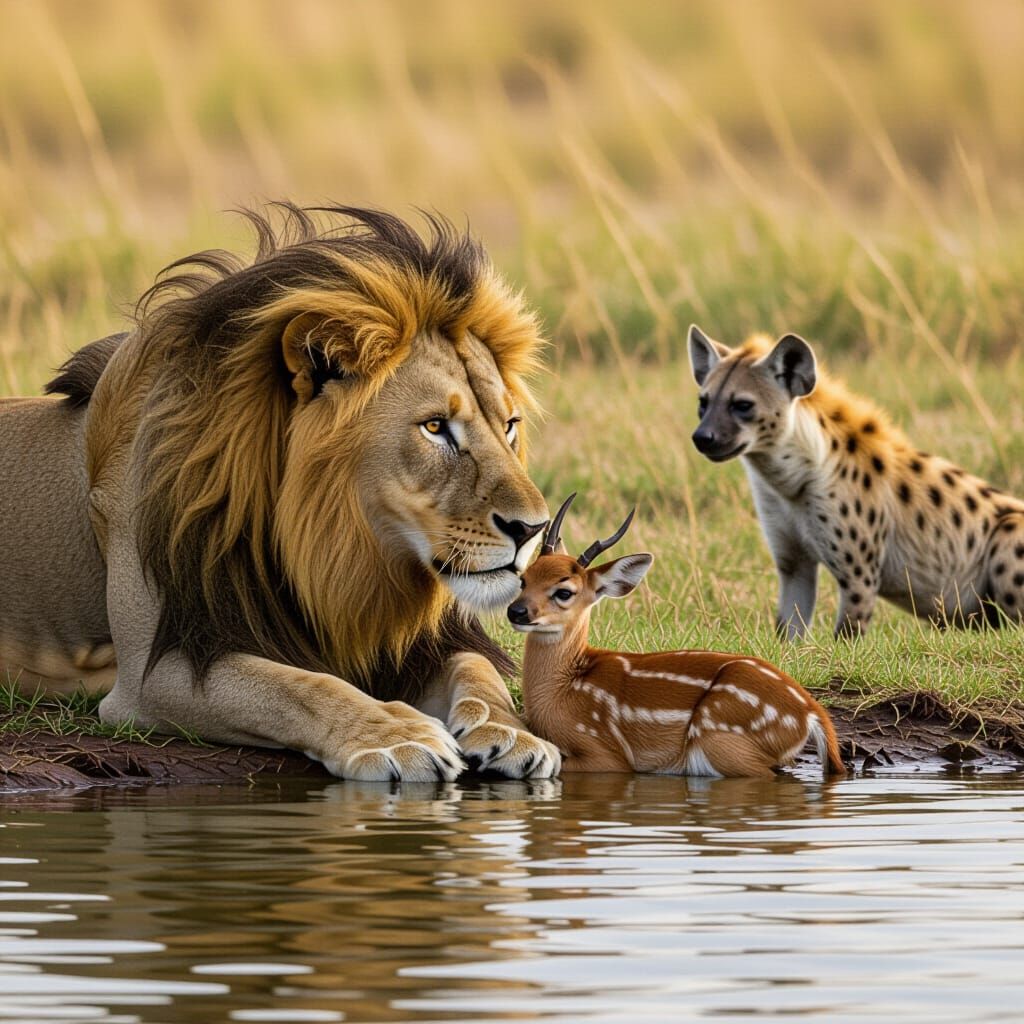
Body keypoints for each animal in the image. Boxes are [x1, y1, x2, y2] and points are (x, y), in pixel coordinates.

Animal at [0, 204, 561, 781]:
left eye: (509, 425)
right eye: (434, 427)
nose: (532, 529)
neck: (344, 555)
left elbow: (478, 670)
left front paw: (510, 731)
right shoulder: (152, 675)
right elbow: (300, 687)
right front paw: (396, 736)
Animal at [508, 495, 846, 778]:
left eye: (564, 592)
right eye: (524, 580)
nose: (517, 611)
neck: (563, 686)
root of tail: (811, 713)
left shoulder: (605, 752)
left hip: (721, 739)